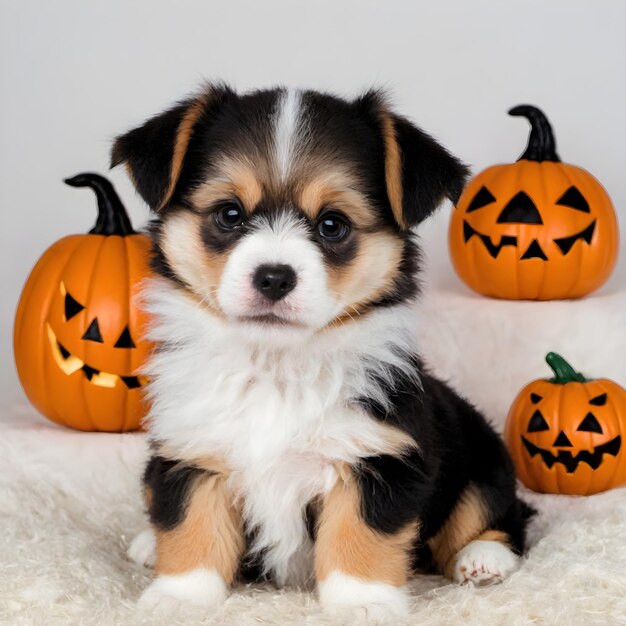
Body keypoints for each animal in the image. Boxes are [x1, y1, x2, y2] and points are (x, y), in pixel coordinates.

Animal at [113, 85, 532, 616]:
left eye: (333, 225)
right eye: (229, 214)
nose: (274, 277)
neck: (274, 367)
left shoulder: (379, 457)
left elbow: (359, 537)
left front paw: (364, 605)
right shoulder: (191, 451)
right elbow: (193, 527)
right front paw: (179, 599)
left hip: (482, 454)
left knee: (504, 513)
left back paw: (483, 559)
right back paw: (149, 543)